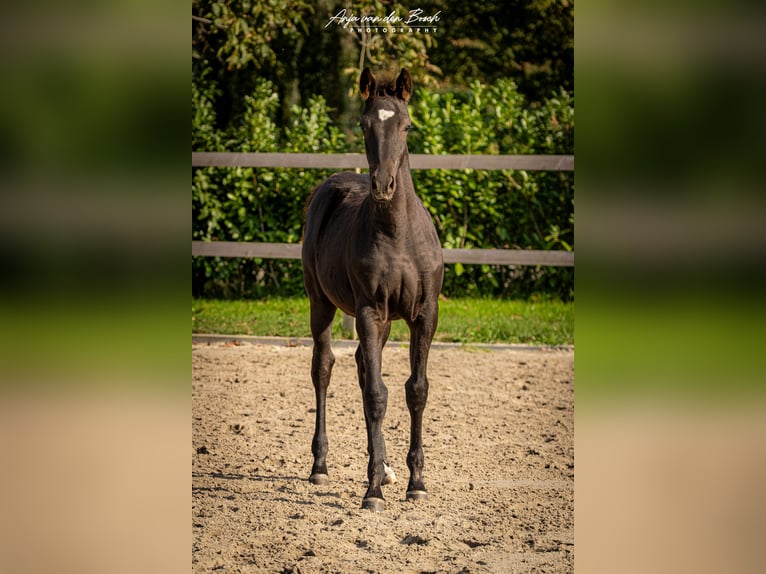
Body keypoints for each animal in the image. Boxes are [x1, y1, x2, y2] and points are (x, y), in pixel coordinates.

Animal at [301, 68, 444, 512]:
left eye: (407, 125)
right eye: (365, 125)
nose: (383, 184)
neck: (398, 234)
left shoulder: (424, 315)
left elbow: (416, 390)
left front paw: (415, 482)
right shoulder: (369, 311)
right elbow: (379, 396)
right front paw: (374, 492)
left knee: (364, 368)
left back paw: (382, 466)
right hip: (322, 304)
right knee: (325, 368)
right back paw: (321, 466)